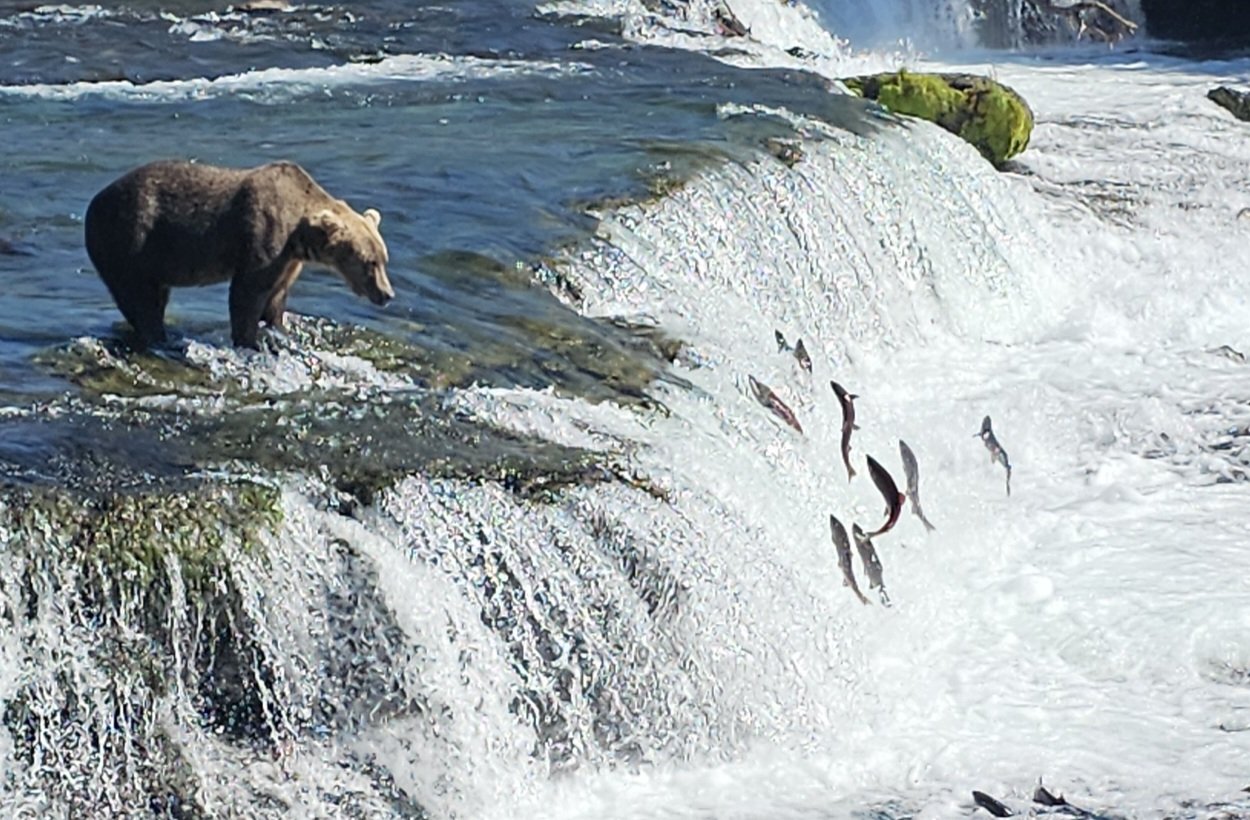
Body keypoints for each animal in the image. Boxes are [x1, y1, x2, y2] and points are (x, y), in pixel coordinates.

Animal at [84, 159, 394, 349]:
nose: (387, 294)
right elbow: (247, 294)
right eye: (370, 263)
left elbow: (276, 297)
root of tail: (93, 204)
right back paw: (162, 338)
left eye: (383, 260)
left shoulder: (288, 261)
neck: (298, 231)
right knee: (141, 301)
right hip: (129, 242)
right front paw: (249, 342)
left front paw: (278, 329)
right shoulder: (264, 239)